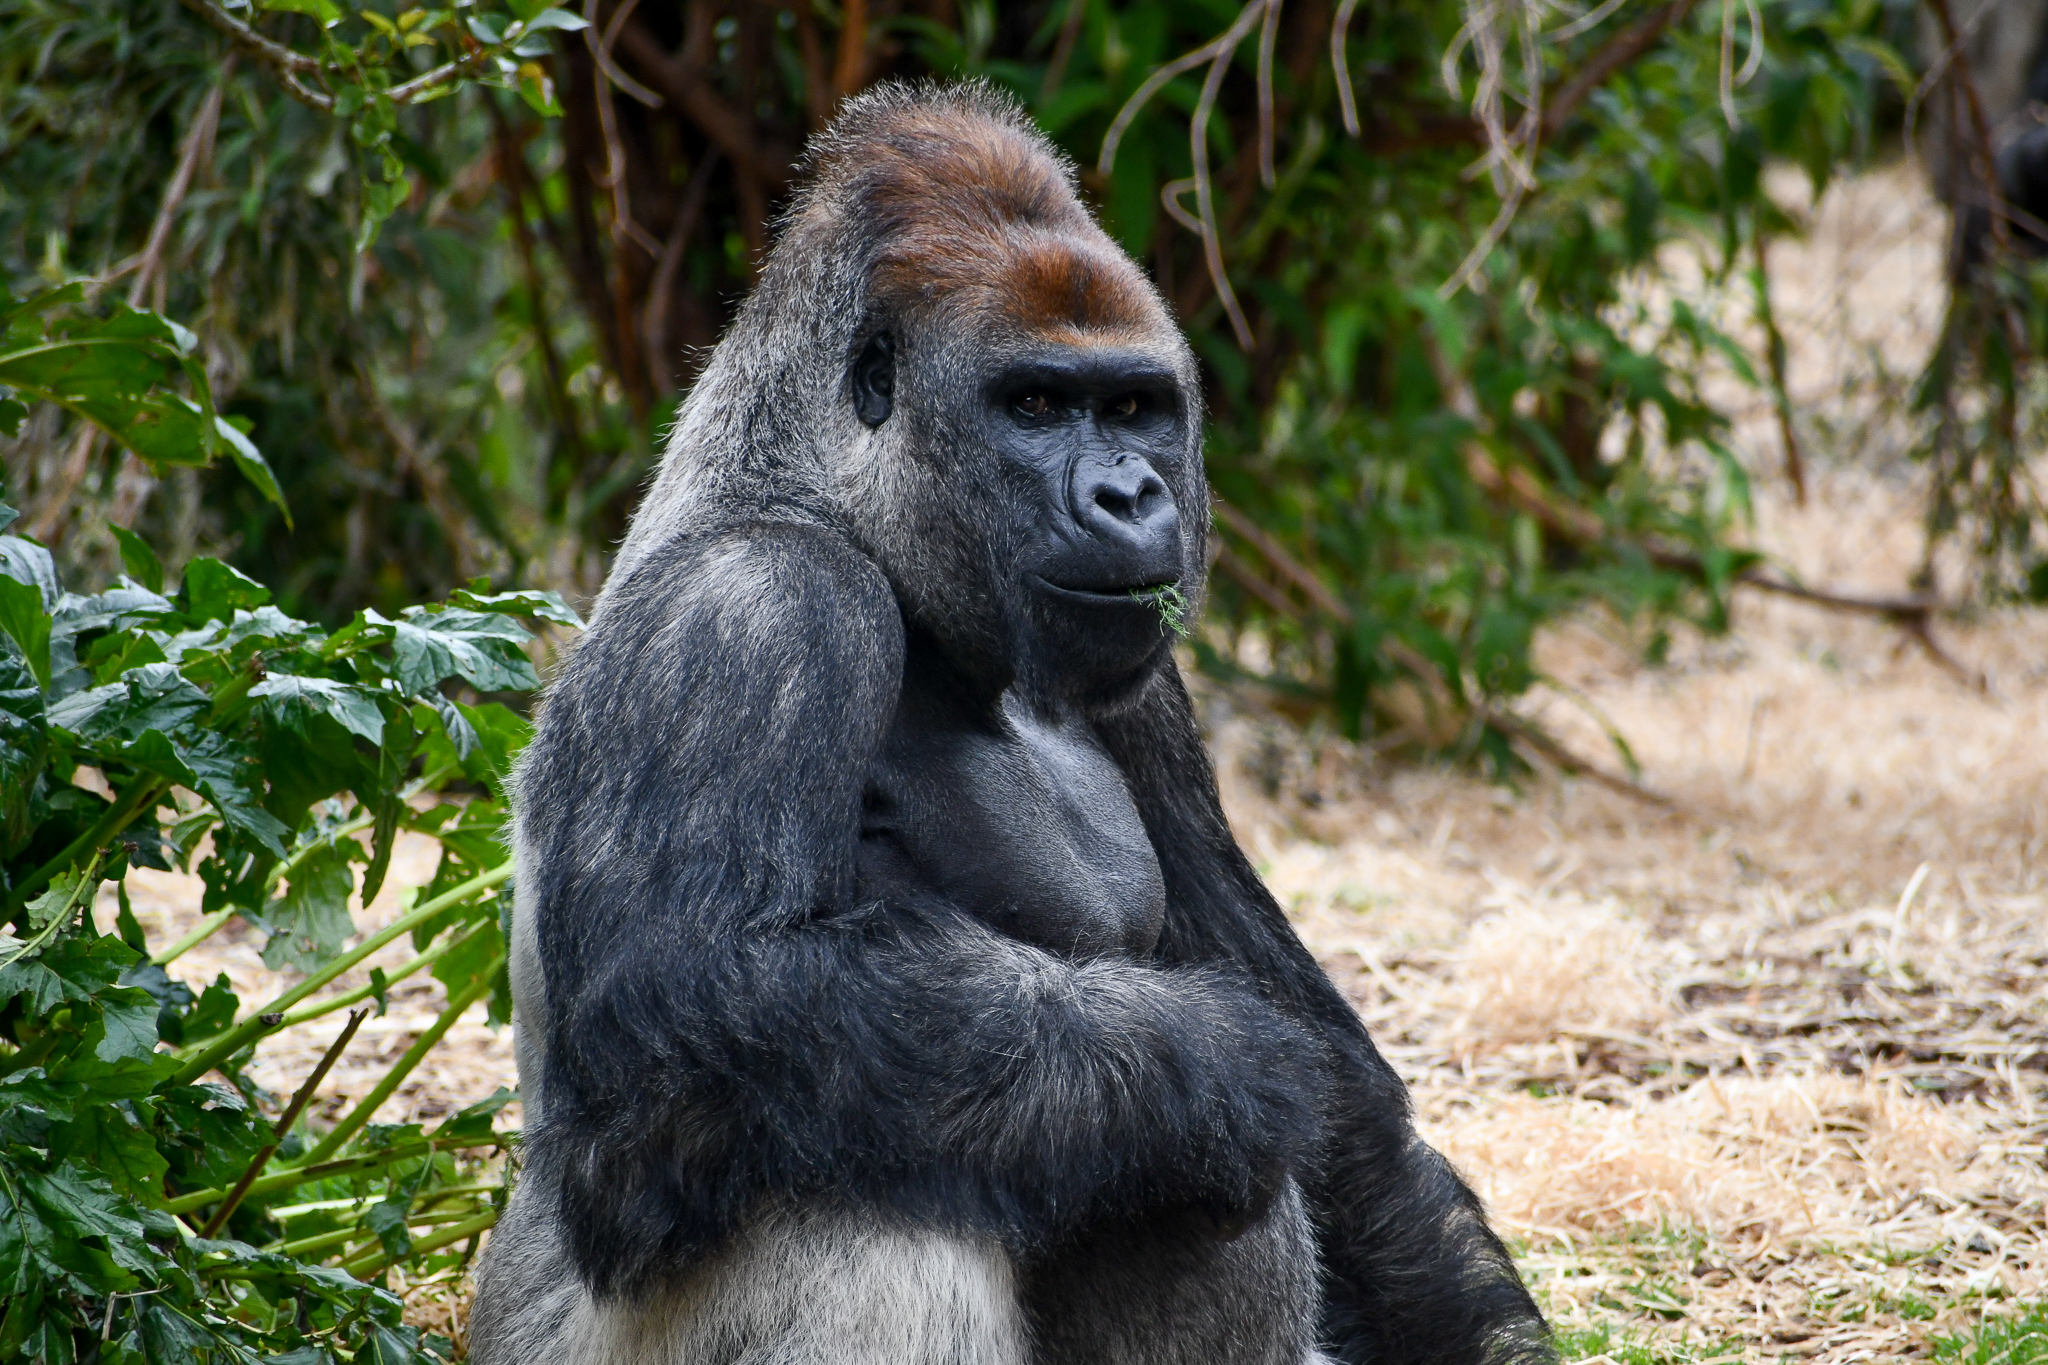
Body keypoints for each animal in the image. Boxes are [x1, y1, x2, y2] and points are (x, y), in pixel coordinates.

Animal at [468, 82, 1553, 1365]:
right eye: (1033, 405)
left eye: (1133, 408)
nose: (1127, 493)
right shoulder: (750, 607)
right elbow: (689, 1004)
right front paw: (1221, 1066)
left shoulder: (1145, 689)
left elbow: (1349, 1120)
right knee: (851, 1177)